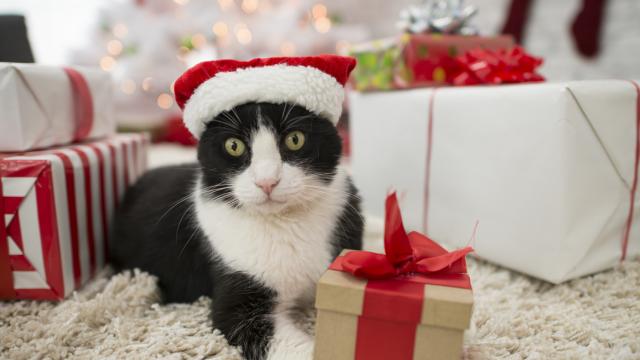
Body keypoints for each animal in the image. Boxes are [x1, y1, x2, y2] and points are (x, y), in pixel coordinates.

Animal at [107, 101, 362, 360]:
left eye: (295, 139)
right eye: (233, 145)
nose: (267, 181)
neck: (284, 222)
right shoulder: (234, 288)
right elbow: (244, 323)